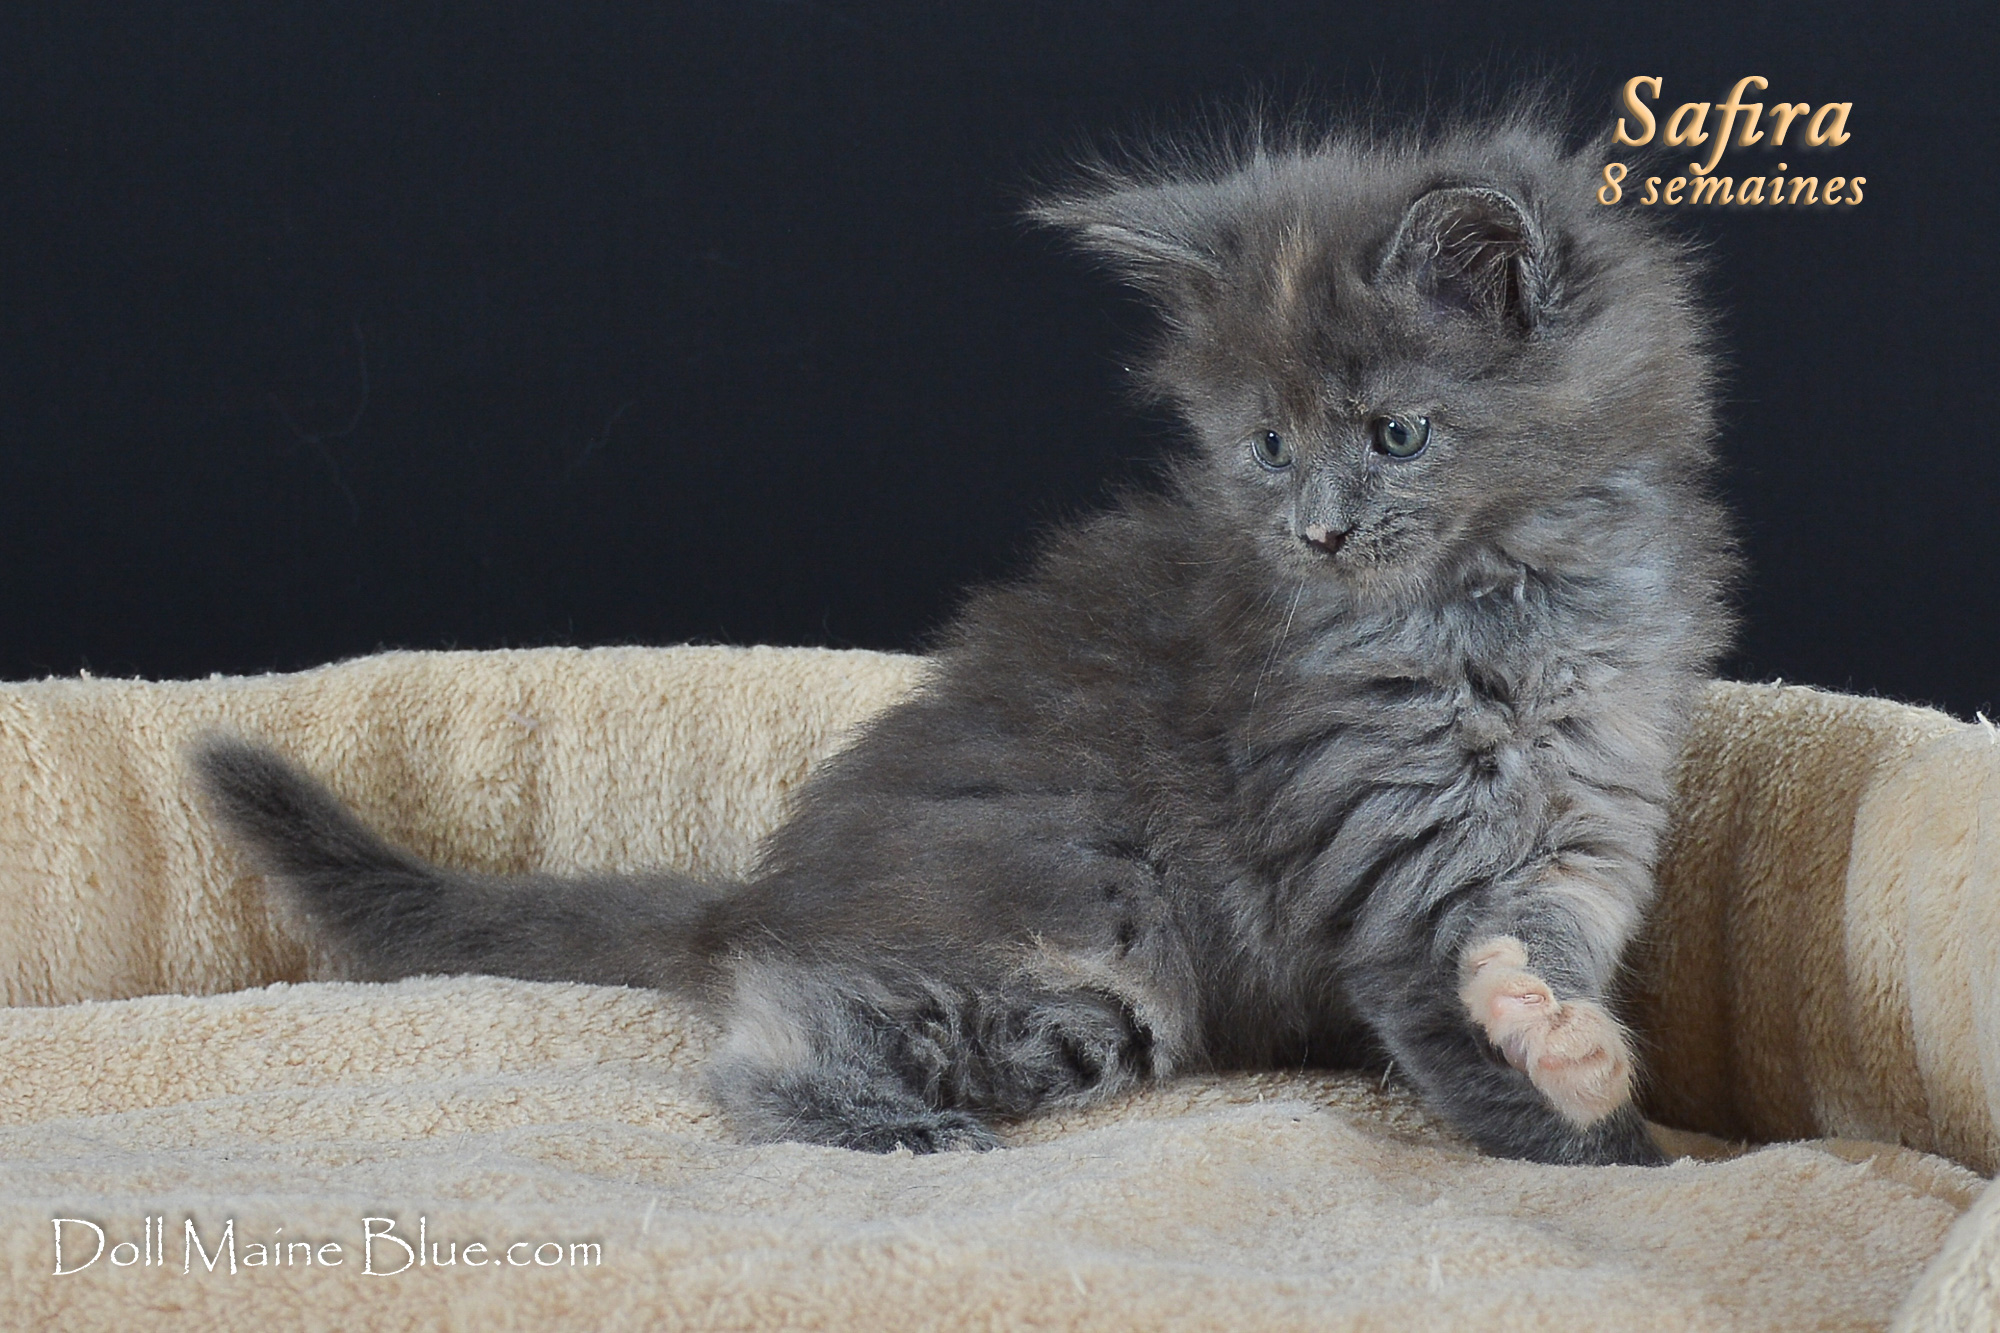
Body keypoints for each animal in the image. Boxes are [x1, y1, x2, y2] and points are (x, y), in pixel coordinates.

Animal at [196, 111, 1735, 1168]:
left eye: (1398, 435)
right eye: (1267, 446)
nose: (1316, 530)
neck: (1503, 612)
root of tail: (758, 898)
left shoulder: (1583, 826)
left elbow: (1540, 957)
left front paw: (1562, 1036)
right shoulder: (1394, 864)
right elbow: (1470, 1052)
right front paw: (1611, 1150)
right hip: (1086, 956)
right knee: (766, 1041)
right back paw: (890, 1128)